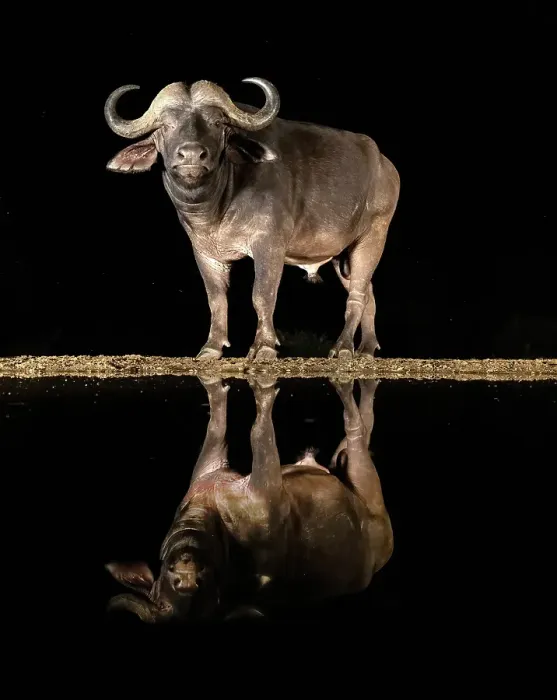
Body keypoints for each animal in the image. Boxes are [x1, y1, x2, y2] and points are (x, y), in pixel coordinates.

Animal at [104, 77, 400, 360]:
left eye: (216, 123)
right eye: (165, 126)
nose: (191, 155)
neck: (218, 209)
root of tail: (386, 167)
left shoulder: (269, 246)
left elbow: (262, 295)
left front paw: (264, 347)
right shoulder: (205, 254)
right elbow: (216, 299)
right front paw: (211, 348)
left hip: (373, 237)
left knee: (357, 297)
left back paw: (343, 348)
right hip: (343, 255)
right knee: (368, 295)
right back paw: (366, 349)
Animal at [105, 376, 393, 623]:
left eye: (199, 580)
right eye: (164, 603)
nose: (186, 576)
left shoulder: (210, 471)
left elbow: (222, 428)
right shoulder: (264, 492)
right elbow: (254, 432)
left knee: (354, 431)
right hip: (367, 486)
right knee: (358, 428)